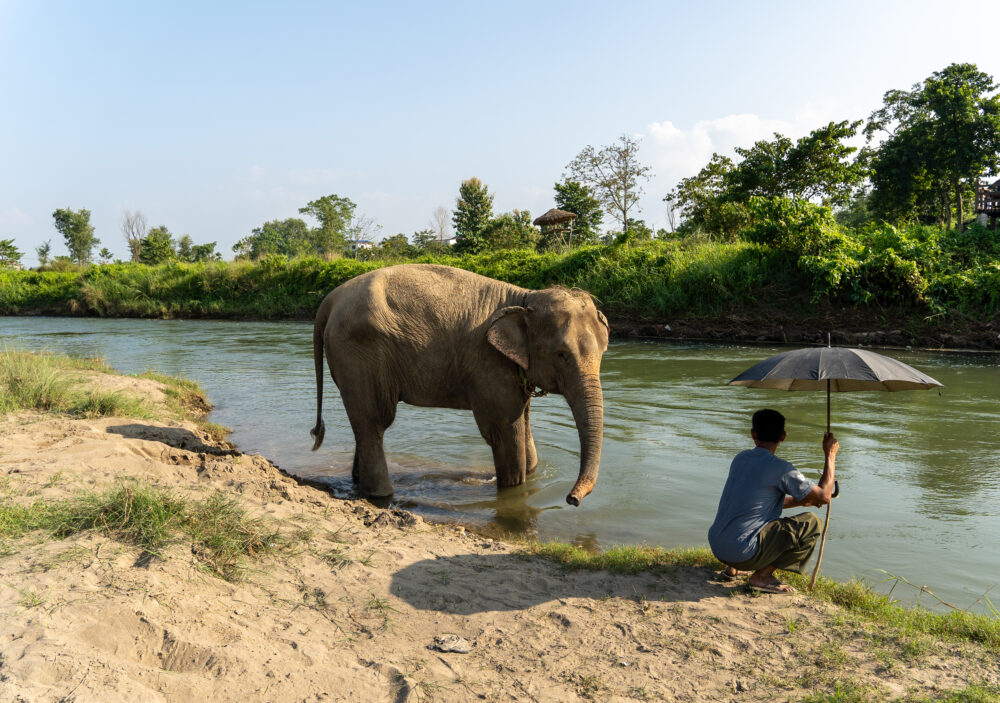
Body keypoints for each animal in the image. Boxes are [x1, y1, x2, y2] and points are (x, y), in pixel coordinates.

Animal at [309, 263, 610, 506]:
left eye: (604, 351)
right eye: (561, 354)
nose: (571, 499)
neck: (525, 297)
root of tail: (330, 299)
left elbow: (523, 427)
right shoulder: (489, 365)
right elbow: (505, 432)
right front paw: (512, 491)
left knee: (365, 426)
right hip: (359, 354)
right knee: (374, 422)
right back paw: (381, 496)